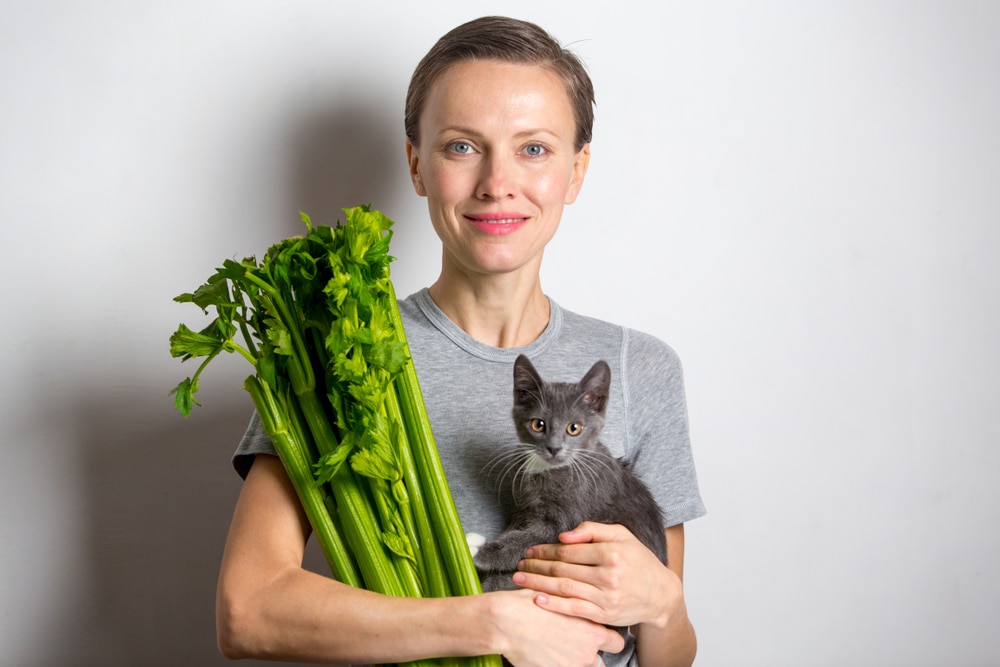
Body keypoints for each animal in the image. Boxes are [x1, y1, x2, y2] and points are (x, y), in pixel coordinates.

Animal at [474, 354, 668, 596]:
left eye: (573, 428)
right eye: (538, 424)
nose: (554, 448)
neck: (549, 471)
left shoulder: (568, 520)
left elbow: (531, 537)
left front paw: (485, 554)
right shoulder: (525, 508)